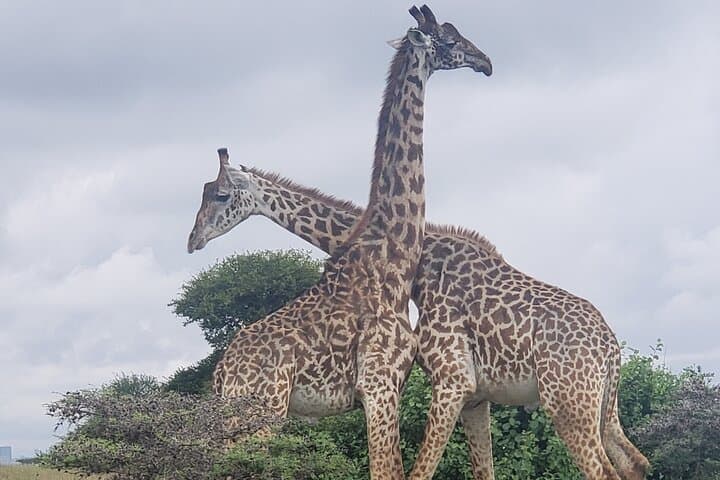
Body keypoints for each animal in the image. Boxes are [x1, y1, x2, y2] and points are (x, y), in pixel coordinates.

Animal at [188, 6, 492, 479]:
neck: (391, 257)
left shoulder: (389, 388)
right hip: (262, 414)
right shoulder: (380, 384)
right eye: (449, 41)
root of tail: (221, 377)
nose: (485, 61)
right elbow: (387, 471)